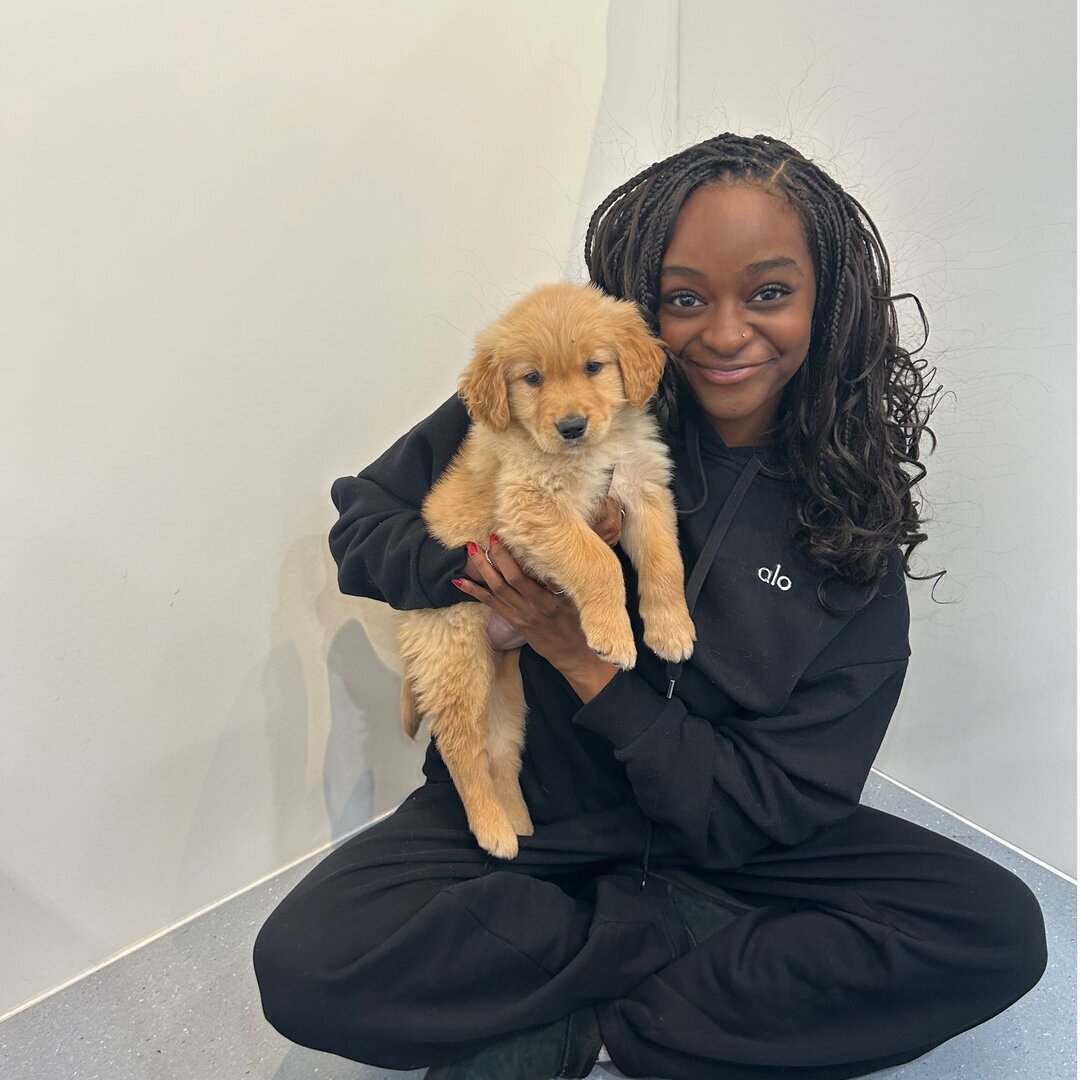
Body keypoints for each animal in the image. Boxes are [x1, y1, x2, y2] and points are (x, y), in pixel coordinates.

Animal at [398, 282, 695, 858]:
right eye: (531, 378)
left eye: (594, 366)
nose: (571, 427)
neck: (592, 451)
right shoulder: (531, 509)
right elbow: (599, 561)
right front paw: (614, 636)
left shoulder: (645, 489)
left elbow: (665, 562)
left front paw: (671, 630)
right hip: (458, 654)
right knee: (460, 746)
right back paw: (492, 831)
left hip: (507, 688)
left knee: (499, 750)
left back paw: (519, 823)